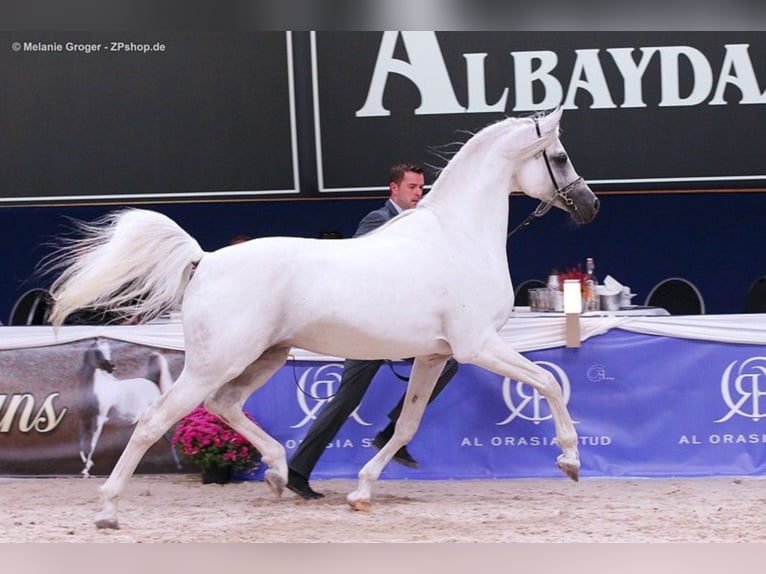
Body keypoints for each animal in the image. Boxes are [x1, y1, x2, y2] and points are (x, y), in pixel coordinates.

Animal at [45, 109, 600, 532]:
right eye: (559, 157)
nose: (590, 206)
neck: (458, 237)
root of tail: (206, 259)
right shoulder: (477, 345)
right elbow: (548, 382)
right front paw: (570, 461)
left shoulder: (433, 356)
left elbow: (407, 425)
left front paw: (361, 492)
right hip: (214, 361)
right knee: (155, 421)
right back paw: (109, 512)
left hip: (265, 356)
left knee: (225, 404)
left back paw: (276, 473)